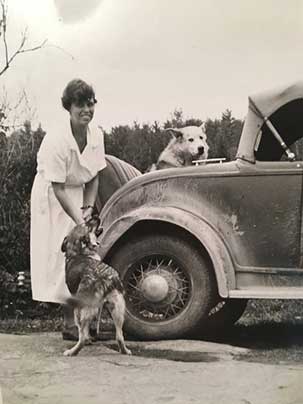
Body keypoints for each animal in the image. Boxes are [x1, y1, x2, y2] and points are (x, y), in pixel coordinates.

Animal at [61, 218, 131, 356]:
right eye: (87, 225)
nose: (95, 217)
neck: (76, 252)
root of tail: (103, 277)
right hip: (117, 308)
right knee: (119, 336)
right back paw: (124, 351)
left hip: (80, 309)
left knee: (83, 337)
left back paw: (72, 352)